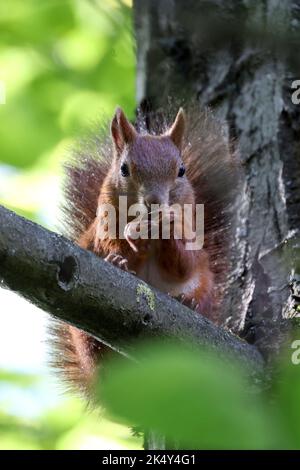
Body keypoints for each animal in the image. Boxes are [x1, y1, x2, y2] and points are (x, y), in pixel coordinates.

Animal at [51, 104, 239, 394]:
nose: (155, 201)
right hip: (87, 336)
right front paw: (122, 256)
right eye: (124, 169)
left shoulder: (192, 236)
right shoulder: (103, 229)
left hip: (208, 289)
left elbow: (184, 264)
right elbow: (113, 244)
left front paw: (167, 230)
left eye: (181, 170)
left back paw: (189, 302)